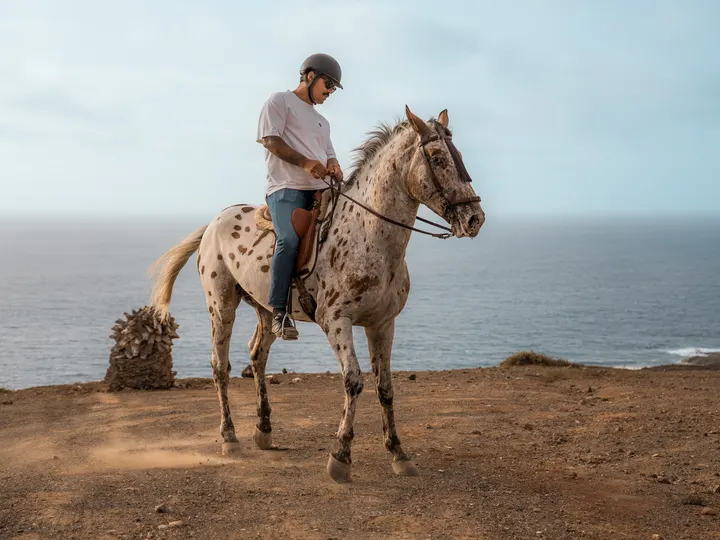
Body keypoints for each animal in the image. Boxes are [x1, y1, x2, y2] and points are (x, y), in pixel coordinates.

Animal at [148, 105, 485, 483]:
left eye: (458, 155)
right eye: (438, 157)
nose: (475, 218)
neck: (370, 236)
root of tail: (214, 222)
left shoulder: (382, 324)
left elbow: (385, 387)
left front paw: (399, 453)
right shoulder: (336, 321)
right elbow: (353, 381)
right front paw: (341, 456)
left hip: (266, 309)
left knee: (257, 355)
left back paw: (264, 430)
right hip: (221, 305)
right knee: (220, 365)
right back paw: (230, 438)